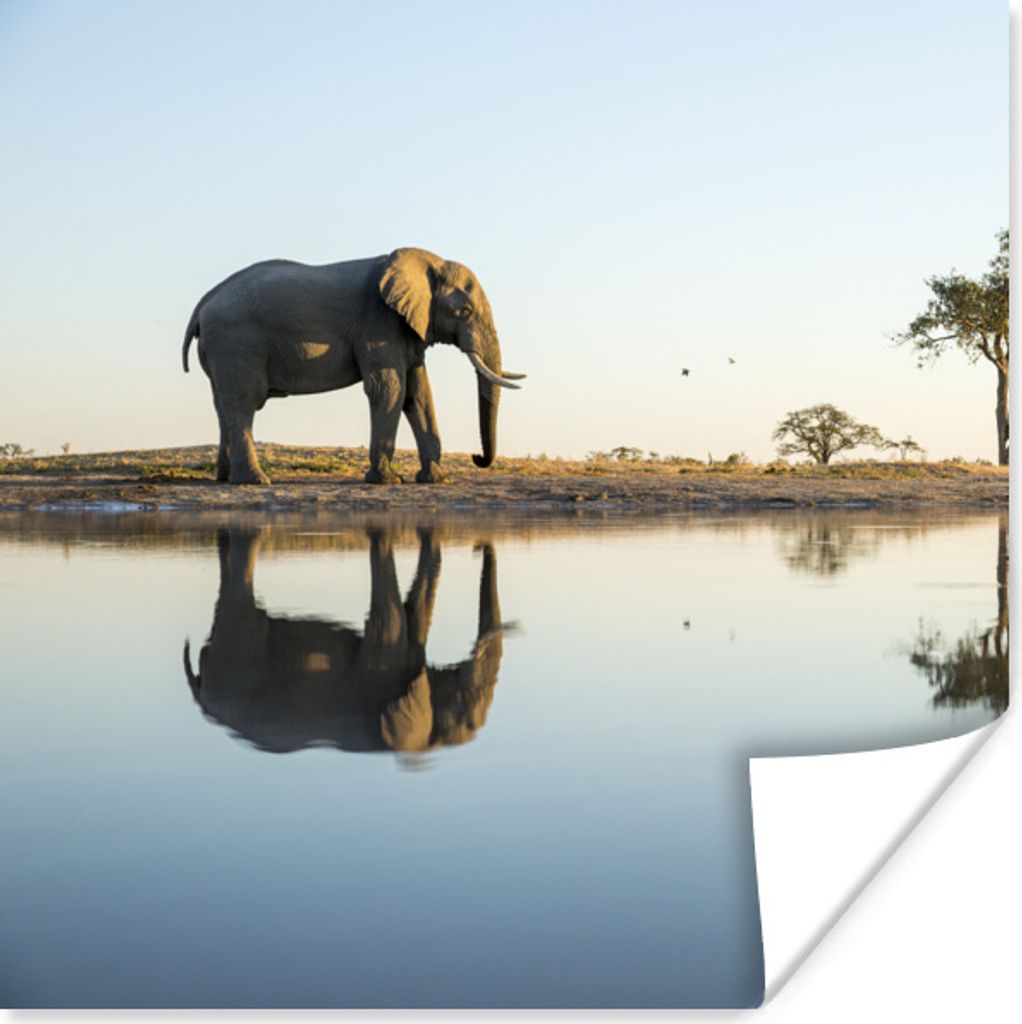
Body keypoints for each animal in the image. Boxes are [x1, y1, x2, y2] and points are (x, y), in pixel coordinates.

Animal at [181, 248, 526, 484]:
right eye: (464, 311)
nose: (476, 457)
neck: (426, 263)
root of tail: (203, 304)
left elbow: (419, 394)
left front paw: (436, 480)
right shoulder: (378, 324)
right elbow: (390, 388)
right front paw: (387, 481)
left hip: (223, 348)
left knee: (223, 405)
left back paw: (225, 479)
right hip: (236, 343)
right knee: (243, 403)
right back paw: (255, 482)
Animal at [183, 526, 508, 756]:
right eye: (464, 717)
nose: (477, 547)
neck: (421, 749)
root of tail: (200, 698)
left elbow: (414, 615)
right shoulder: (378, 676)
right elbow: (392, 621)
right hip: (238, 659)